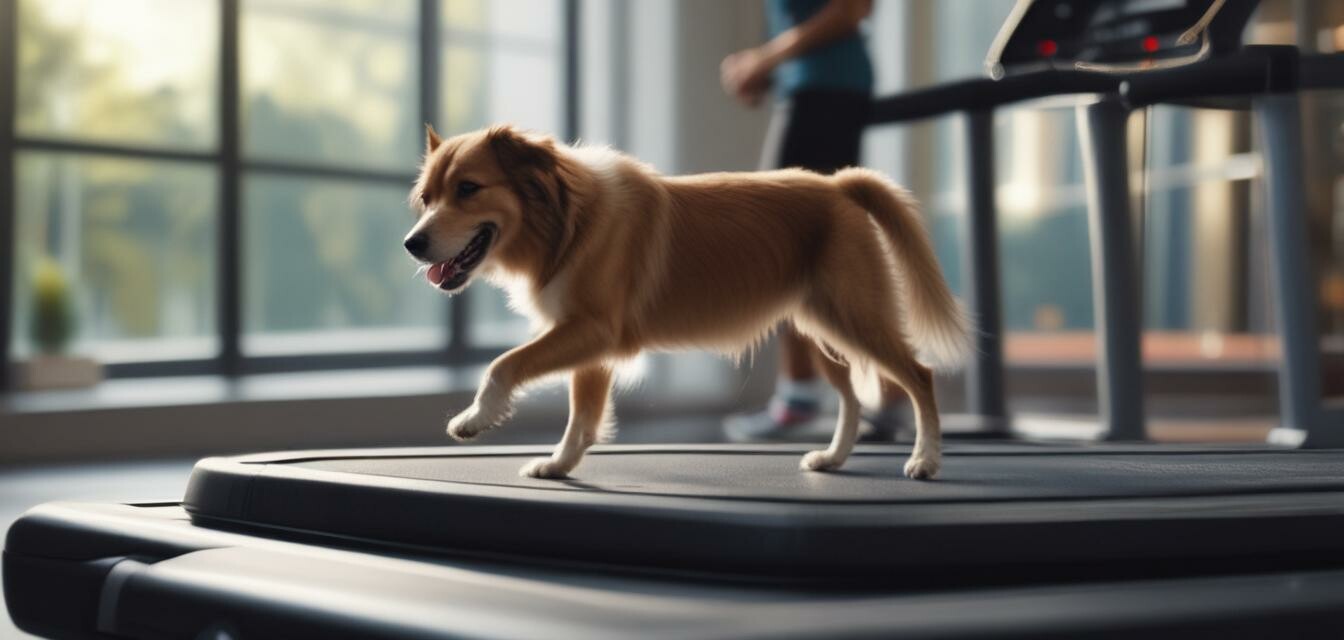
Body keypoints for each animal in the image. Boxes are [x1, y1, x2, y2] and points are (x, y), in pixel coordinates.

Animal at [400, 123, 967, 478]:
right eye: (427, 198)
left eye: (469, 188)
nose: (412, 244)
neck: (566, 221)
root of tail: (839, 186)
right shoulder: (588, 344)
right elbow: (583, 416)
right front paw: (559, 466)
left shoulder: (592, 331)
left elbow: (503, 365)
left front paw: (474, 419)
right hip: (821, 327)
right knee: (849, 396)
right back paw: (833, 458)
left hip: (856, 317)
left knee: (919, 377)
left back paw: (927, 460)